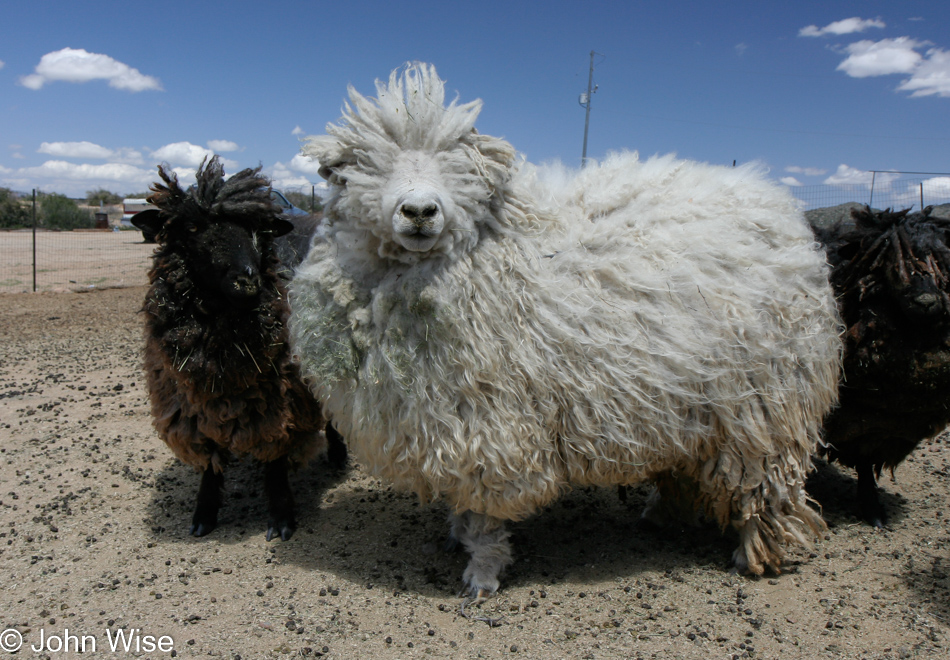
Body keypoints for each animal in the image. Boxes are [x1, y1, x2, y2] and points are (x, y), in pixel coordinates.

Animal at [132, 159, 344, 540]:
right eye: (192, 227)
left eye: (258, 231)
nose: (246, 281)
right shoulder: (192, 405)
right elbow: (210, 462)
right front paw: (204, 513)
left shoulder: (283, 397)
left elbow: (275, 463)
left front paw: (281, 517)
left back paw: (337, 453)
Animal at [288, 63, 840, 600]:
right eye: (362, 167)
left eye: (459, 166)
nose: (420, 212)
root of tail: (779, 209)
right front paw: (457, 535)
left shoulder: (491, 422)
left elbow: (484, 510)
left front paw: (482, 572)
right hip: (690, 403)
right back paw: (663, 515)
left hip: (765, 407)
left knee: (767, 486)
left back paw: (756, 552)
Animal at [816, 205, 950, 524]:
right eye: (887, 260)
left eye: (941, 258)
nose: (927, 302)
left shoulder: (876, 424)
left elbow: (866, 463)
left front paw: (872, 507)